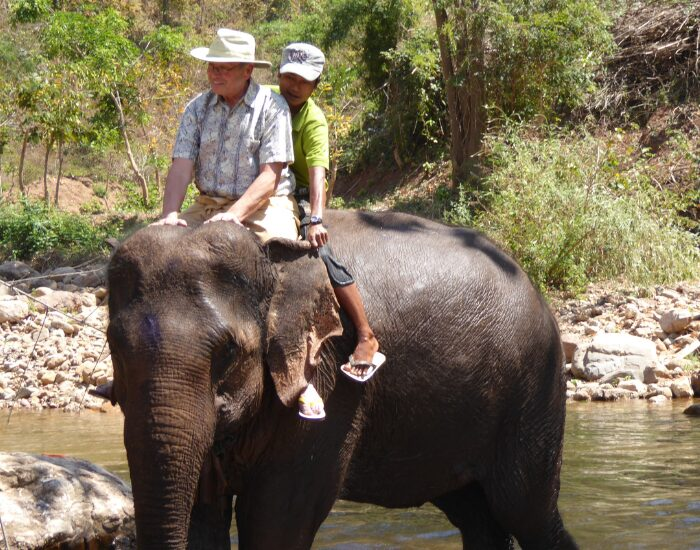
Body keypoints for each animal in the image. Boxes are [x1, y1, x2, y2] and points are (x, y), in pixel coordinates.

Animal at [106, 209, 577, 549]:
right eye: (114, 345)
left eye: (228, 351)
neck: (273, 259)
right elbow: (205, 516)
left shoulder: (329, 380)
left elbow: (275, 519)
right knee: (477, 516)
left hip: (533, 390)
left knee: (526, 510)